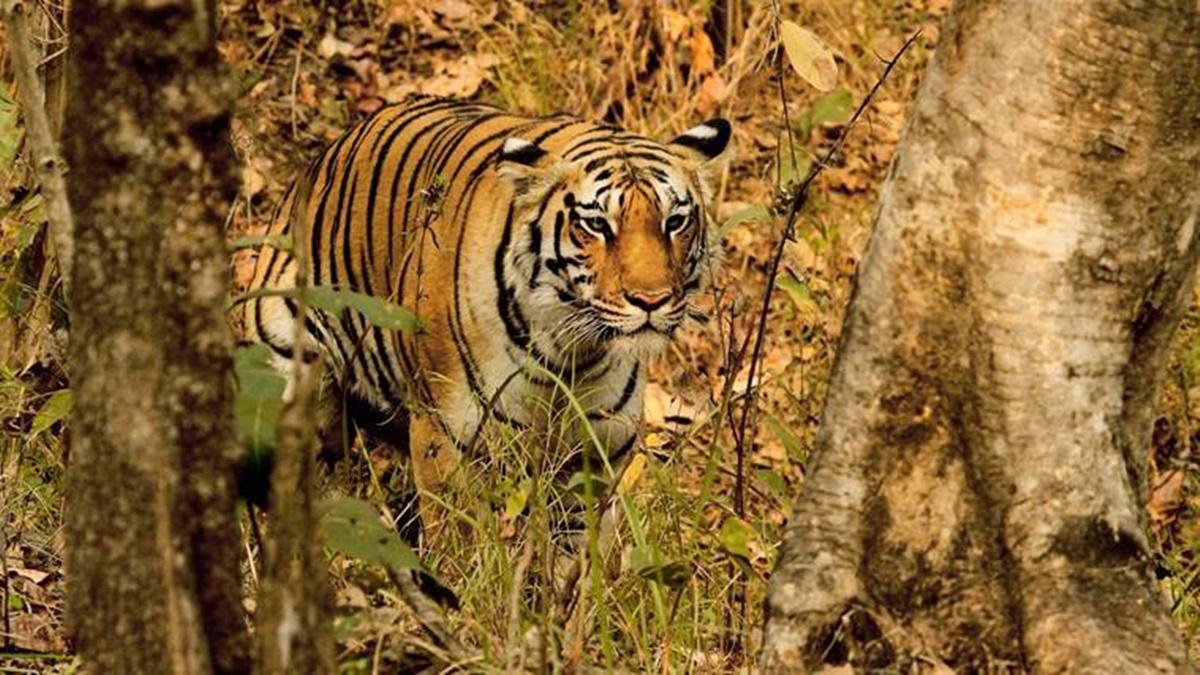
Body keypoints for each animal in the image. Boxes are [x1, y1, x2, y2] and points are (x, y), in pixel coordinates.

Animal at [242, 94, 731, 533]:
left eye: (674, 221)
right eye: (596, 224)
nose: (652, 300)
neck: (572, 353)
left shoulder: (594, 456)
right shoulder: (444, 436)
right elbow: (460, 539)